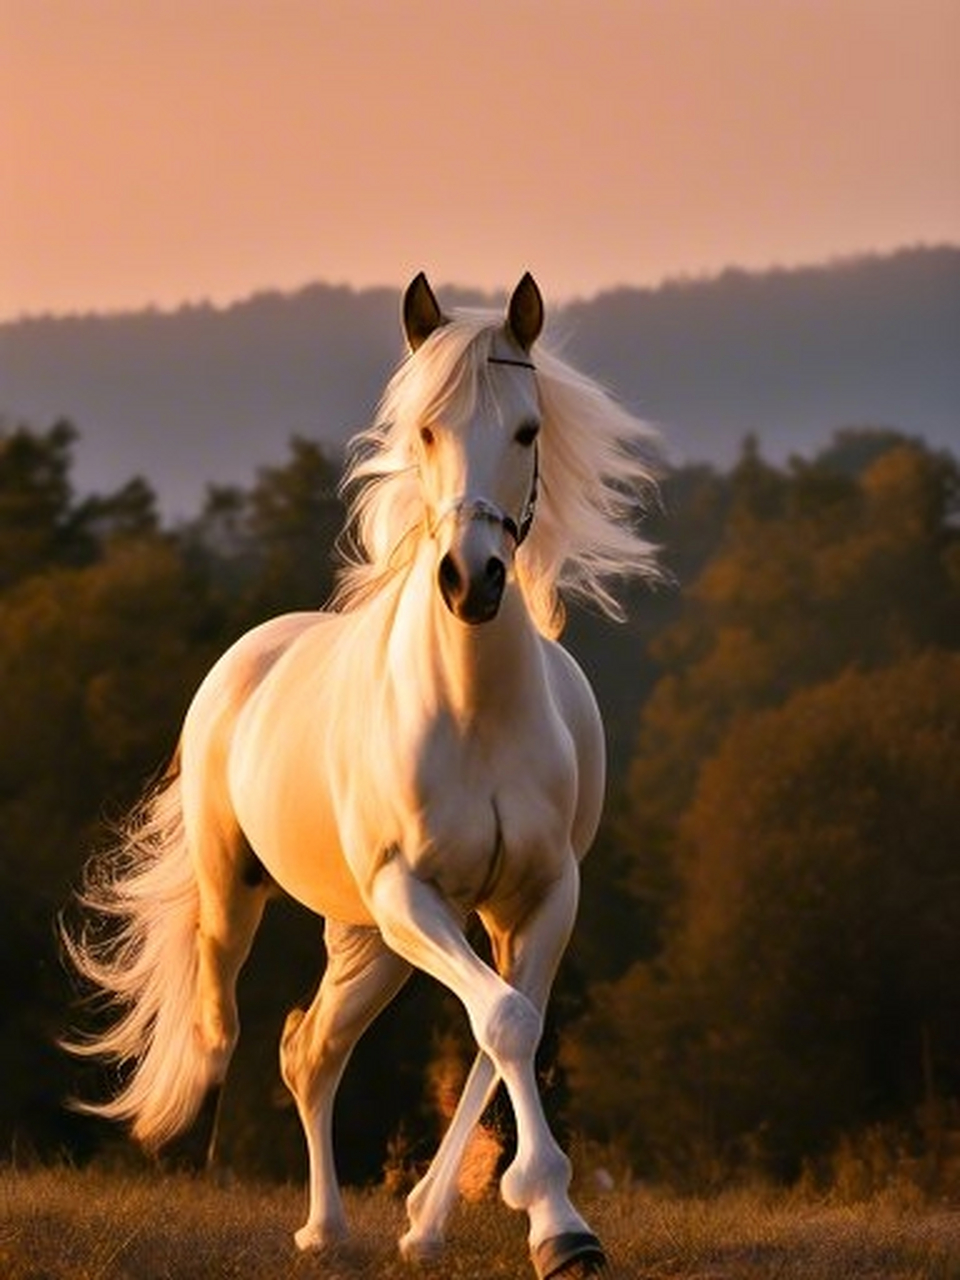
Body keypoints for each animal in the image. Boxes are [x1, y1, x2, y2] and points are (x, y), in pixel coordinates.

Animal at [62, 272, 661, 1278]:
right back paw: (303, 1212)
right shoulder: (407, 892)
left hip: (376, 939)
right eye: (424, 429)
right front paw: (553, 1219)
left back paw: (366, 1225)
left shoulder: (540, 897)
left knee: (317, 1049)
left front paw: (549, 1225)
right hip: (255, 899)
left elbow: (508, 1028)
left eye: (528, 430)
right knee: (236, 1028)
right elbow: (503, 1024)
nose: (470, 580)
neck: (475, 712)